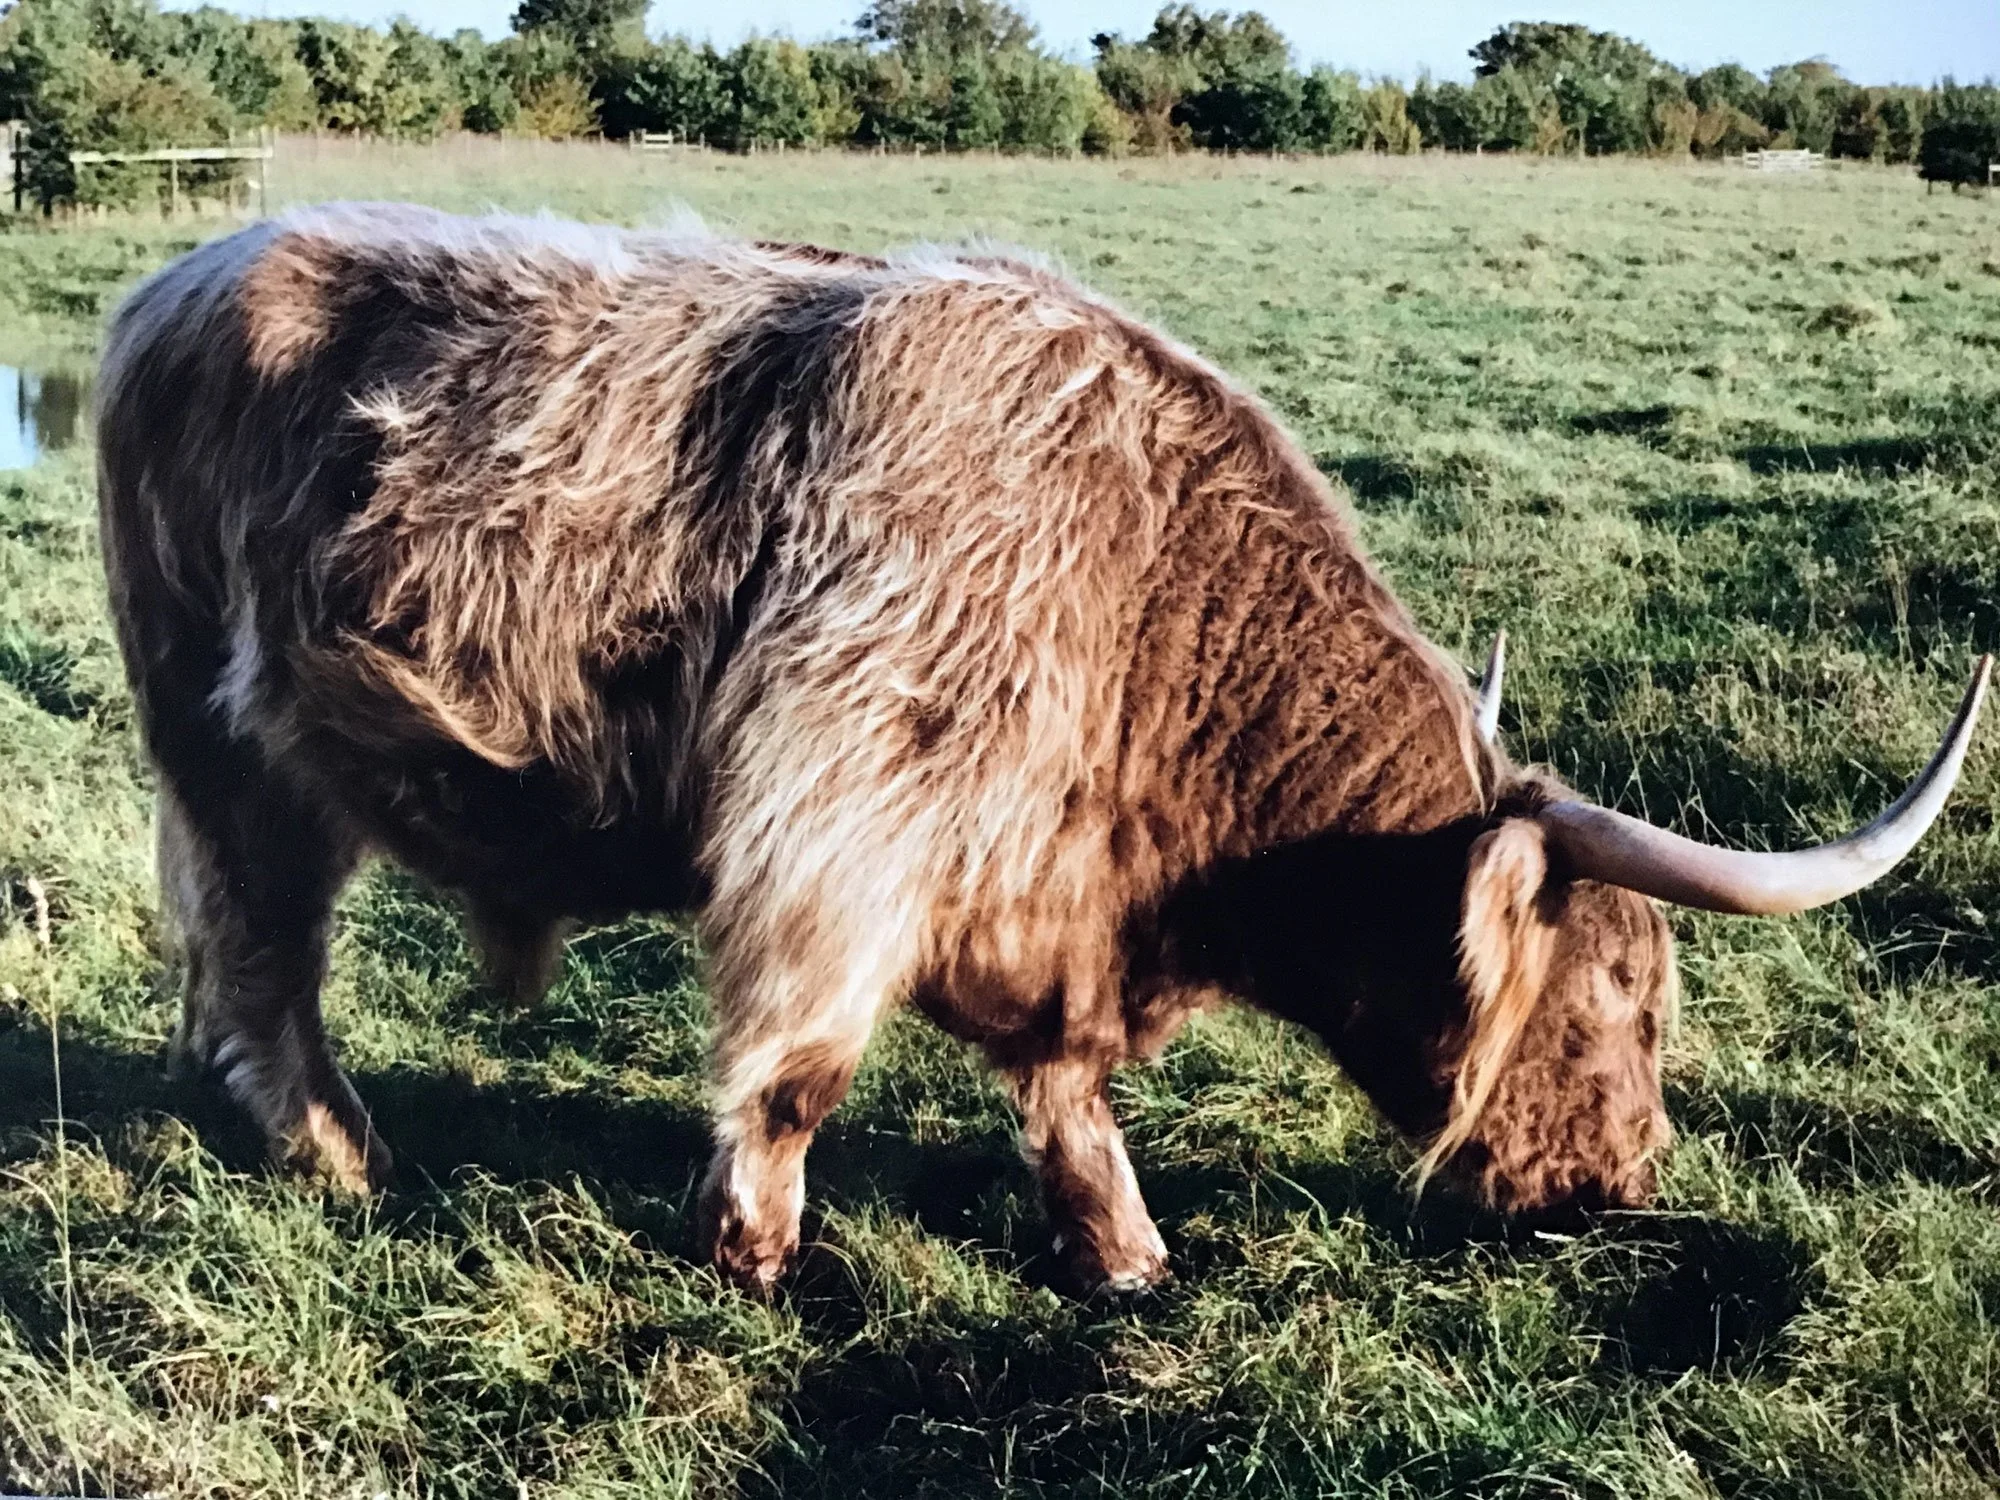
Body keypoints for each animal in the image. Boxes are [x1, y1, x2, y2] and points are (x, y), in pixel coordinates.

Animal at [96, 204, 1988, 1295]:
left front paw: (1126, 1255)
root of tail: (181, 276)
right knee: (265, 956)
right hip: (227, 746)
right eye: (1619, 994)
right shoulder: (838, 817)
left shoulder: (1049, 900)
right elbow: (797, 1068)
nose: (1624, 1180)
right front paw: (756, 1255)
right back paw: (341, 1157)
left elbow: (1066, 1085)